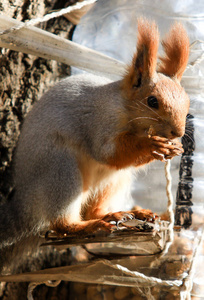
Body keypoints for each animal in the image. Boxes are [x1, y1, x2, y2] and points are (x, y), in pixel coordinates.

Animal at [0, 18, 190, 270]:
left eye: (187, 101)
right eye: (152, 101)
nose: (178, 131)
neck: (127, 112)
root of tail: (22, 202)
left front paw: (174, 146)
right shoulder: (99, 121)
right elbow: (108, 152)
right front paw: (153, 145)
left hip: (114, 179)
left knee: (93, 208)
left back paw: (117, 214)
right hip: (60, 170)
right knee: (61, 223)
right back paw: (89, 225)